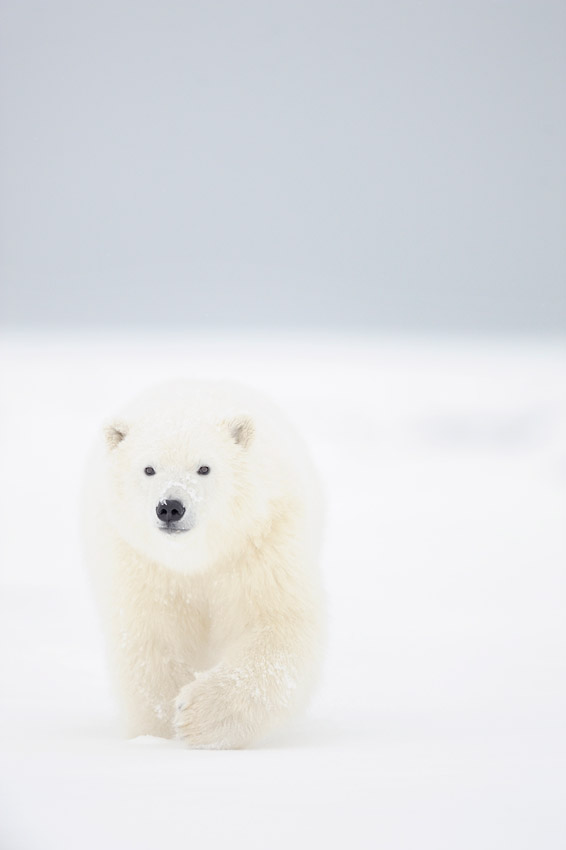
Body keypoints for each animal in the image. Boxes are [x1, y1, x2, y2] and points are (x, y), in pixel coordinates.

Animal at [82, 380, 326, 744]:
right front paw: (159, 732)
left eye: (204, 467)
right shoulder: (141, 566)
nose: (170, 507)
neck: (197, 559)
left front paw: (196, 716)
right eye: (148, 468)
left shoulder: (261, 547)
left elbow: (277, 625)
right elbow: (153, 644)